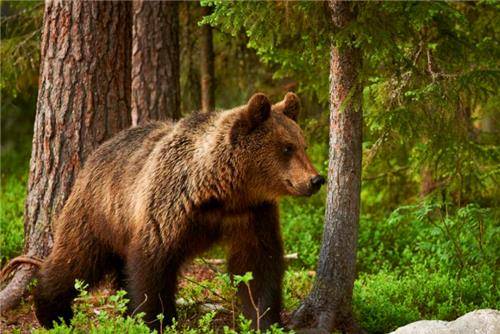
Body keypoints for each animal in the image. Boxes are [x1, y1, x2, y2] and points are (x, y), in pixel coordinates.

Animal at [33, 92, 326, 332]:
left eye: (303, 145)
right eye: (287, 147)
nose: (315, 179)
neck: (222, 190)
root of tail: (97, 151)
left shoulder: (252, 213)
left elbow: (258, 265)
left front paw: (265, 320)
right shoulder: (169, 205)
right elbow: (152, 265)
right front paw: (154, 320)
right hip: (99, 212)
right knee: (77, 259)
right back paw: (52, 311)